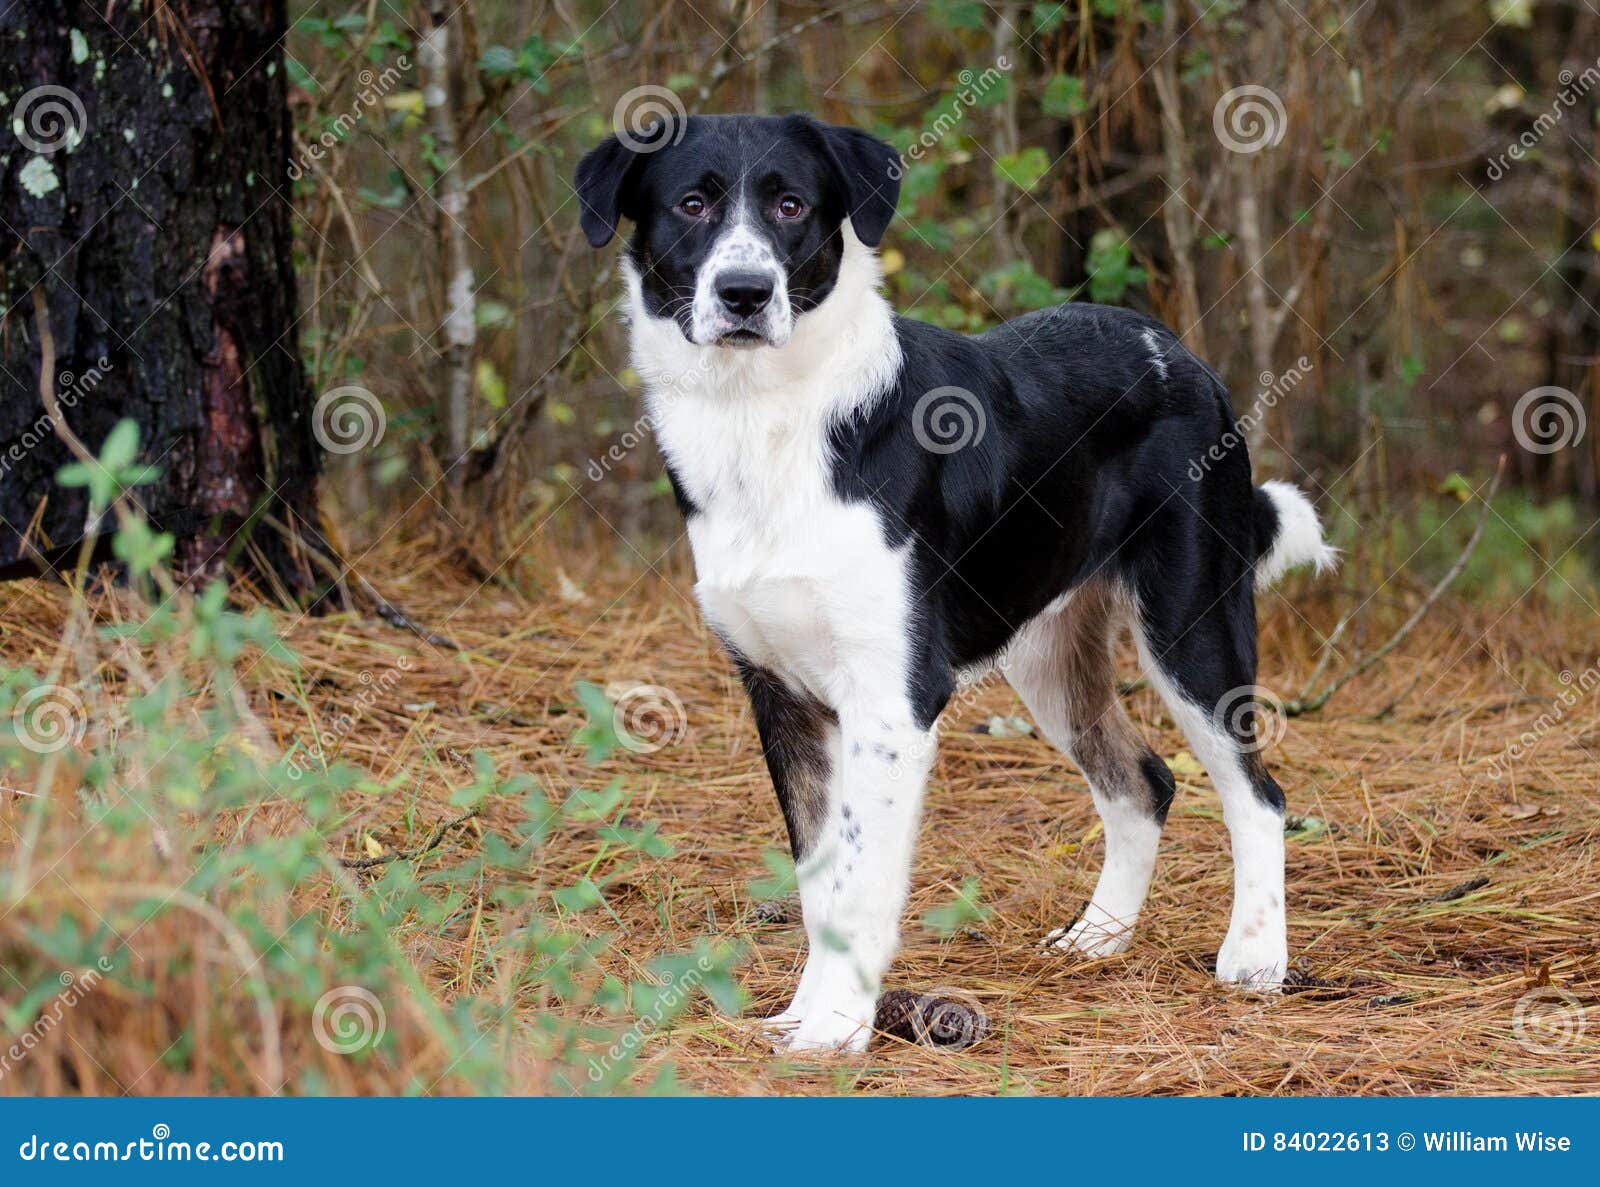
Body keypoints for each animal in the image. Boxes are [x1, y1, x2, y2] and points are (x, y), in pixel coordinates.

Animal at [579, 115, 1337, 1055]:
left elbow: (861, 882)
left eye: (792, 205)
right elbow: (818, 879)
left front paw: (837, 1026)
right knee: (1142, 781)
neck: (768, 416)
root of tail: (1185, 356)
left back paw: (1256, 957)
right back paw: (1098, 936)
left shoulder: (893, 701)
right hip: (1050, 658)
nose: (746, 293)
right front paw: (804, 1013)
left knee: (1256, 792)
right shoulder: (781, 695)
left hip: (1191, 625)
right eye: (691, 203)